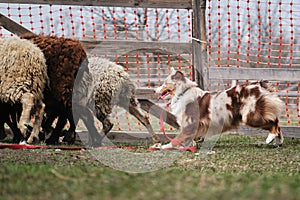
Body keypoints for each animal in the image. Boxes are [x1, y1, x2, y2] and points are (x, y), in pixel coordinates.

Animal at [156, 68, 284, 148]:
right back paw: (278, 143)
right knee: (277, 123)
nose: (154, 90)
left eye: (165, 83)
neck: (182, 93)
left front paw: (163, 146)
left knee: (274, 122)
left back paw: (269, 139)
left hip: (251, 116)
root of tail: (258, 85)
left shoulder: (189, 123)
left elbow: (178, 139)